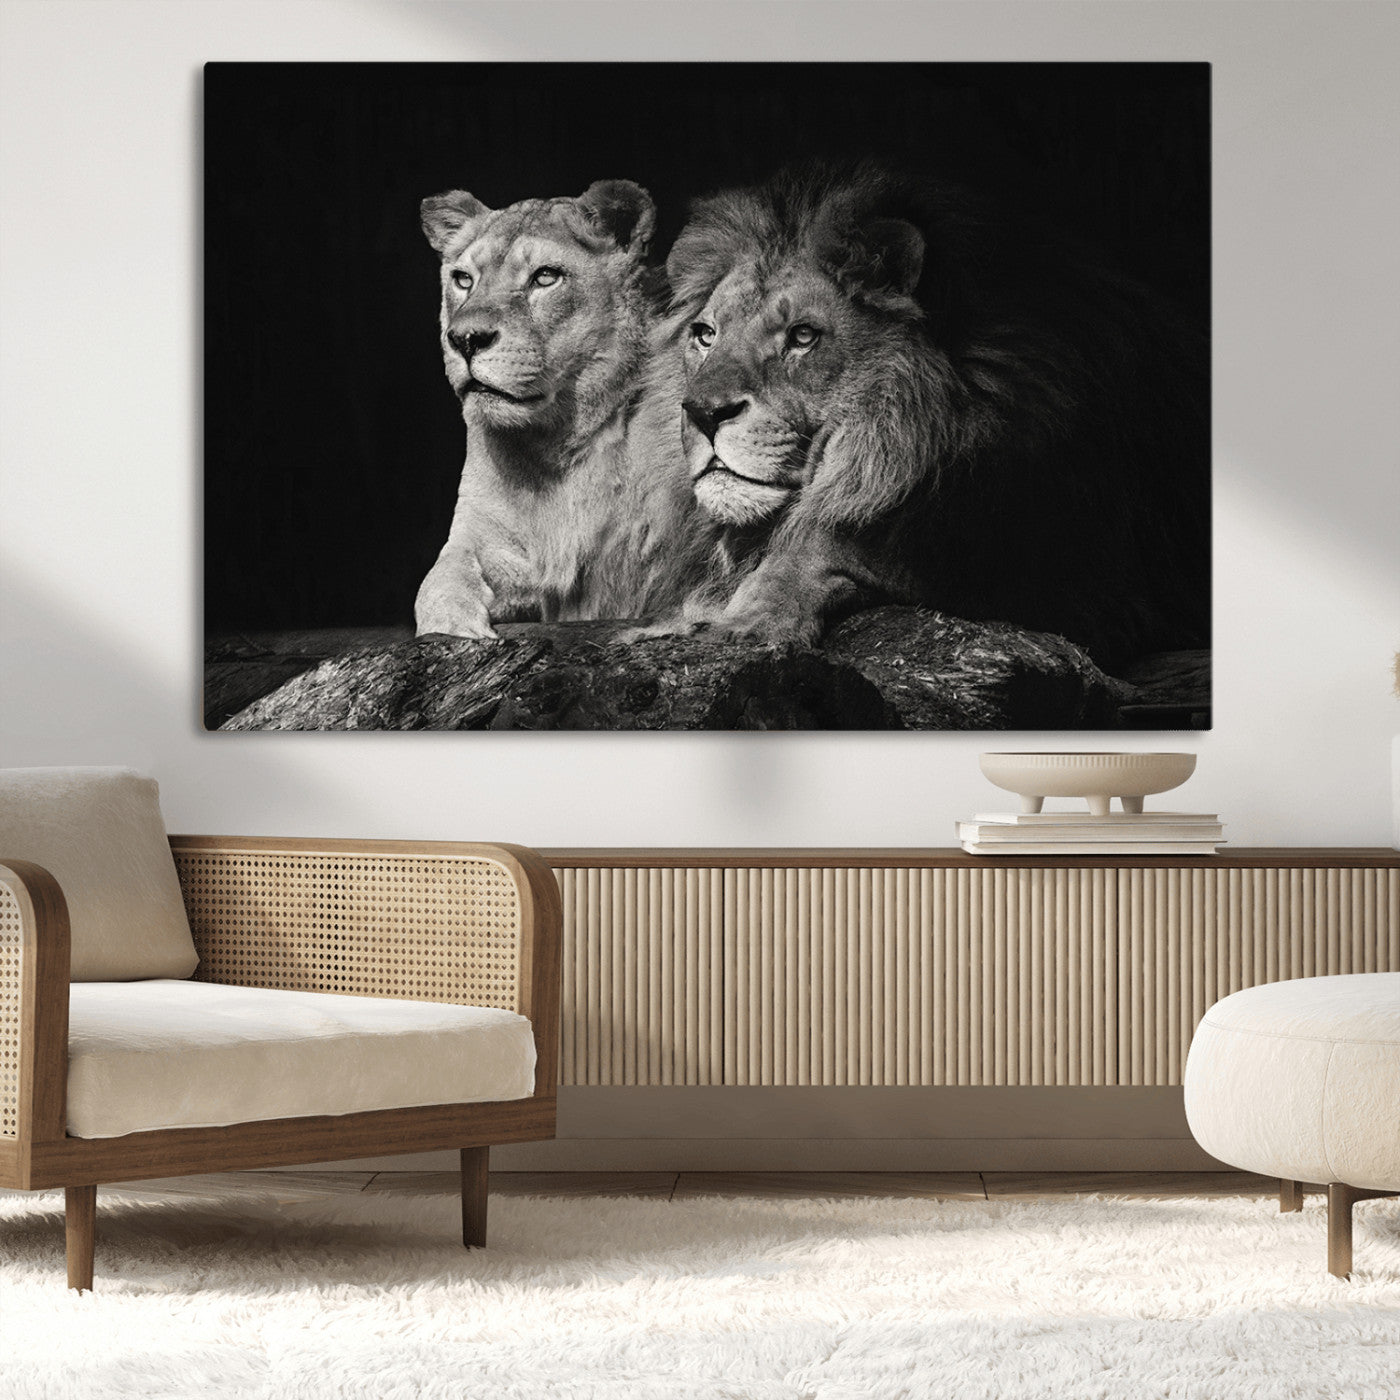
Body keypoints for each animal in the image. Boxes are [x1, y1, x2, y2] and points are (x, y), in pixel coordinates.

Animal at [414, 180, 712, 637]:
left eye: (545, 277)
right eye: (463, 280)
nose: (464, 339)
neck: (554, 446)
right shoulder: (481, 535)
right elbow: (437, 582)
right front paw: (454, 628)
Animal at [656, 162, 1210, 669]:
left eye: (804, 336)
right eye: (705, 335)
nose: (704, 413)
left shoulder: (1080, 580)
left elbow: (834, 536)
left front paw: (748, 616)